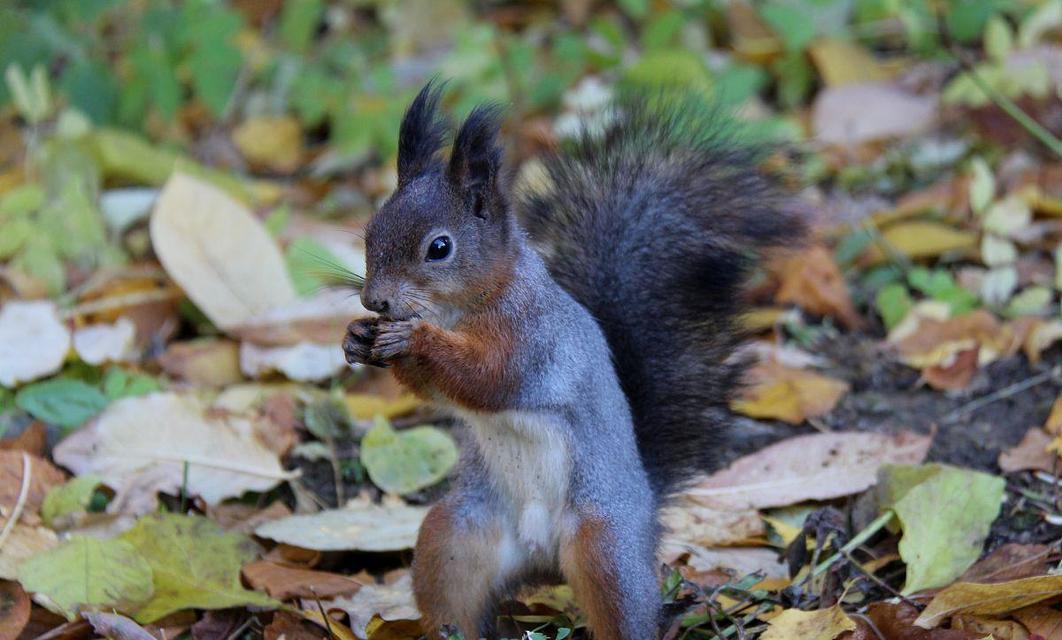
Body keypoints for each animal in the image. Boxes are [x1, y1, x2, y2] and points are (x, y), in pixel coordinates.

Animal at [344, 81, 798, 640]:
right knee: (453, 594)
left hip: (605, 546)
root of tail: (541, 558)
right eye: (370, 232)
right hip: (455, 535)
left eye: (440, 247)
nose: (375, 301)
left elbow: (490, 379)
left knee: (620, 608)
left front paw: (417, 339)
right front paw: (357, 339)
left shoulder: (534, 339)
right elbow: (435, 388)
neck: (459, 310)